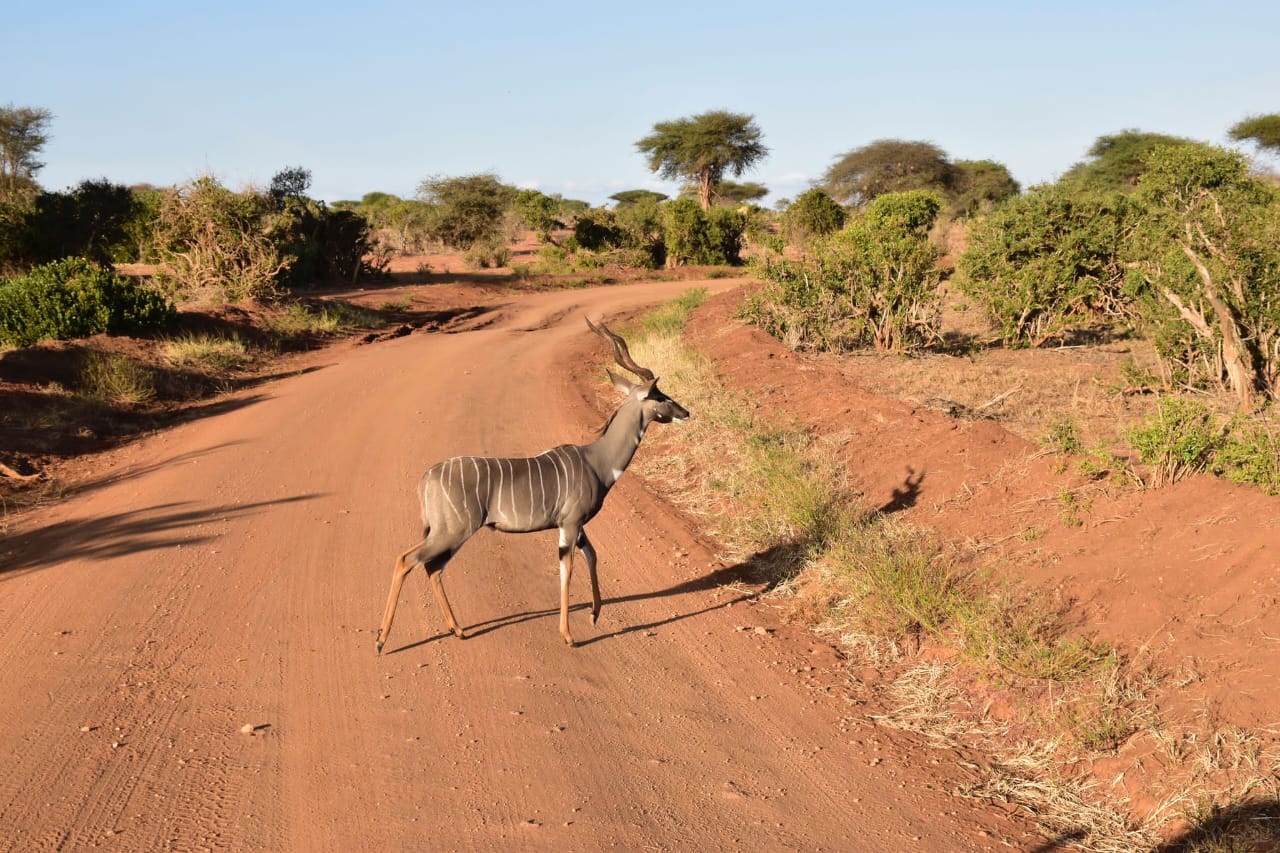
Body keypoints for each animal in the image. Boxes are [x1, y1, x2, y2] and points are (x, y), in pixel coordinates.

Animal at [375, 318, 690, 652]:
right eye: (661, 396)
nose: (686, 413)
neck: (596, 461)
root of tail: (426, 477)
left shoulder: (576, 525)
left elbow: (592, 555)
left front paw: (594, 613)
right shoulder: (570, 523)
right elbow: (567, 570)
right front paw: (568, 635)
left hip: (450, 533)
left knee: (432, 568)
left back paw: (457, 630)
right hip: (452, 530)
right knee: (406, 560)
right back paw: (381, 640)